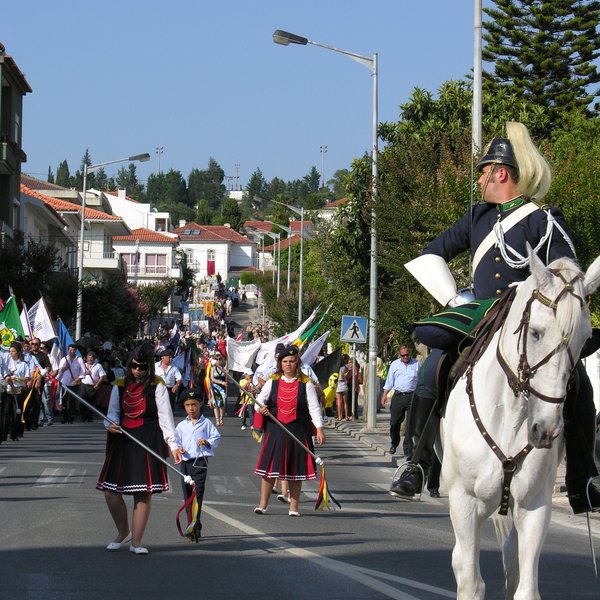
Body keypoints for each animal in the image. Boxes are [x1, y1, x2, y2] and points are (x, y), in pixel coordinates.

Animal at [440, 251, 600, 596]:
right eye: (536, 332)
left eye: (584, 340)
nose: (546, 429)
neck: (510, 417)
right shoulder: (464, 503)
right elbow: (471, 582)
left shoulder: (534, 506)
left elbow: (525, 588)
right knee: (461, 560)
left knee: (511, 561)